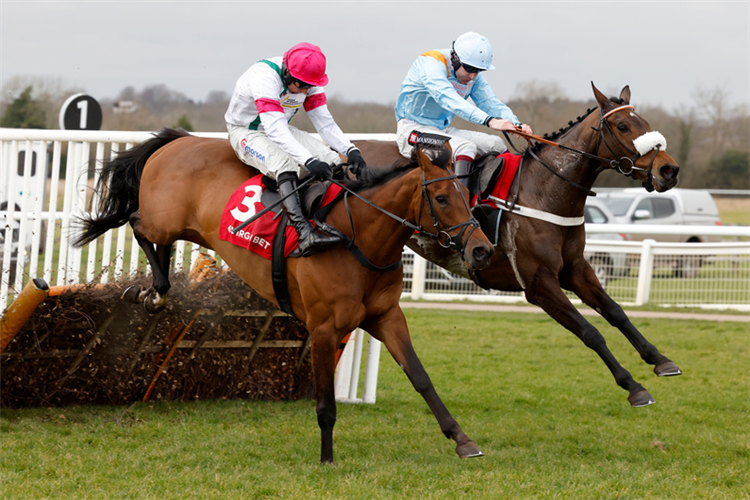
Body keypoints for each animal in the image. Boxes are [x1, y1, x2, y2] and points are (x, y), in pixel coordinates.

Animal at [72, 127, 494, 462]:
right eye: (441, 198)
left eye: (466, 192)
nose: (481, 250)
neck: (356, 238)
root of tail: (178, 139)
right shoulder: (323, 328)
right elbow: (325, 403)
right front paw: (327, 458)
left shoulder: (386, 317)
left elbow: (421, 378)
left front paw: (462, 440)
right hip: (163, 219)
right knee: (136, 223)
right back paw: (154, 291)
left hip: (181, 228)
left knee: (159, 244)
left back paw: (153, 293)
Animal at [358, 83, 688, 410]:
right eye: (623, 126)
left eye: (645, 122)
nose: (669, 170)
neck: (543, 191)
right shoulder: (538, 284)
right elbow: (590, 332)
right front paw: (633, 386)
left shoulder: (575, 268)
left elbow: (616, 312)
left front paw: (660, 360)